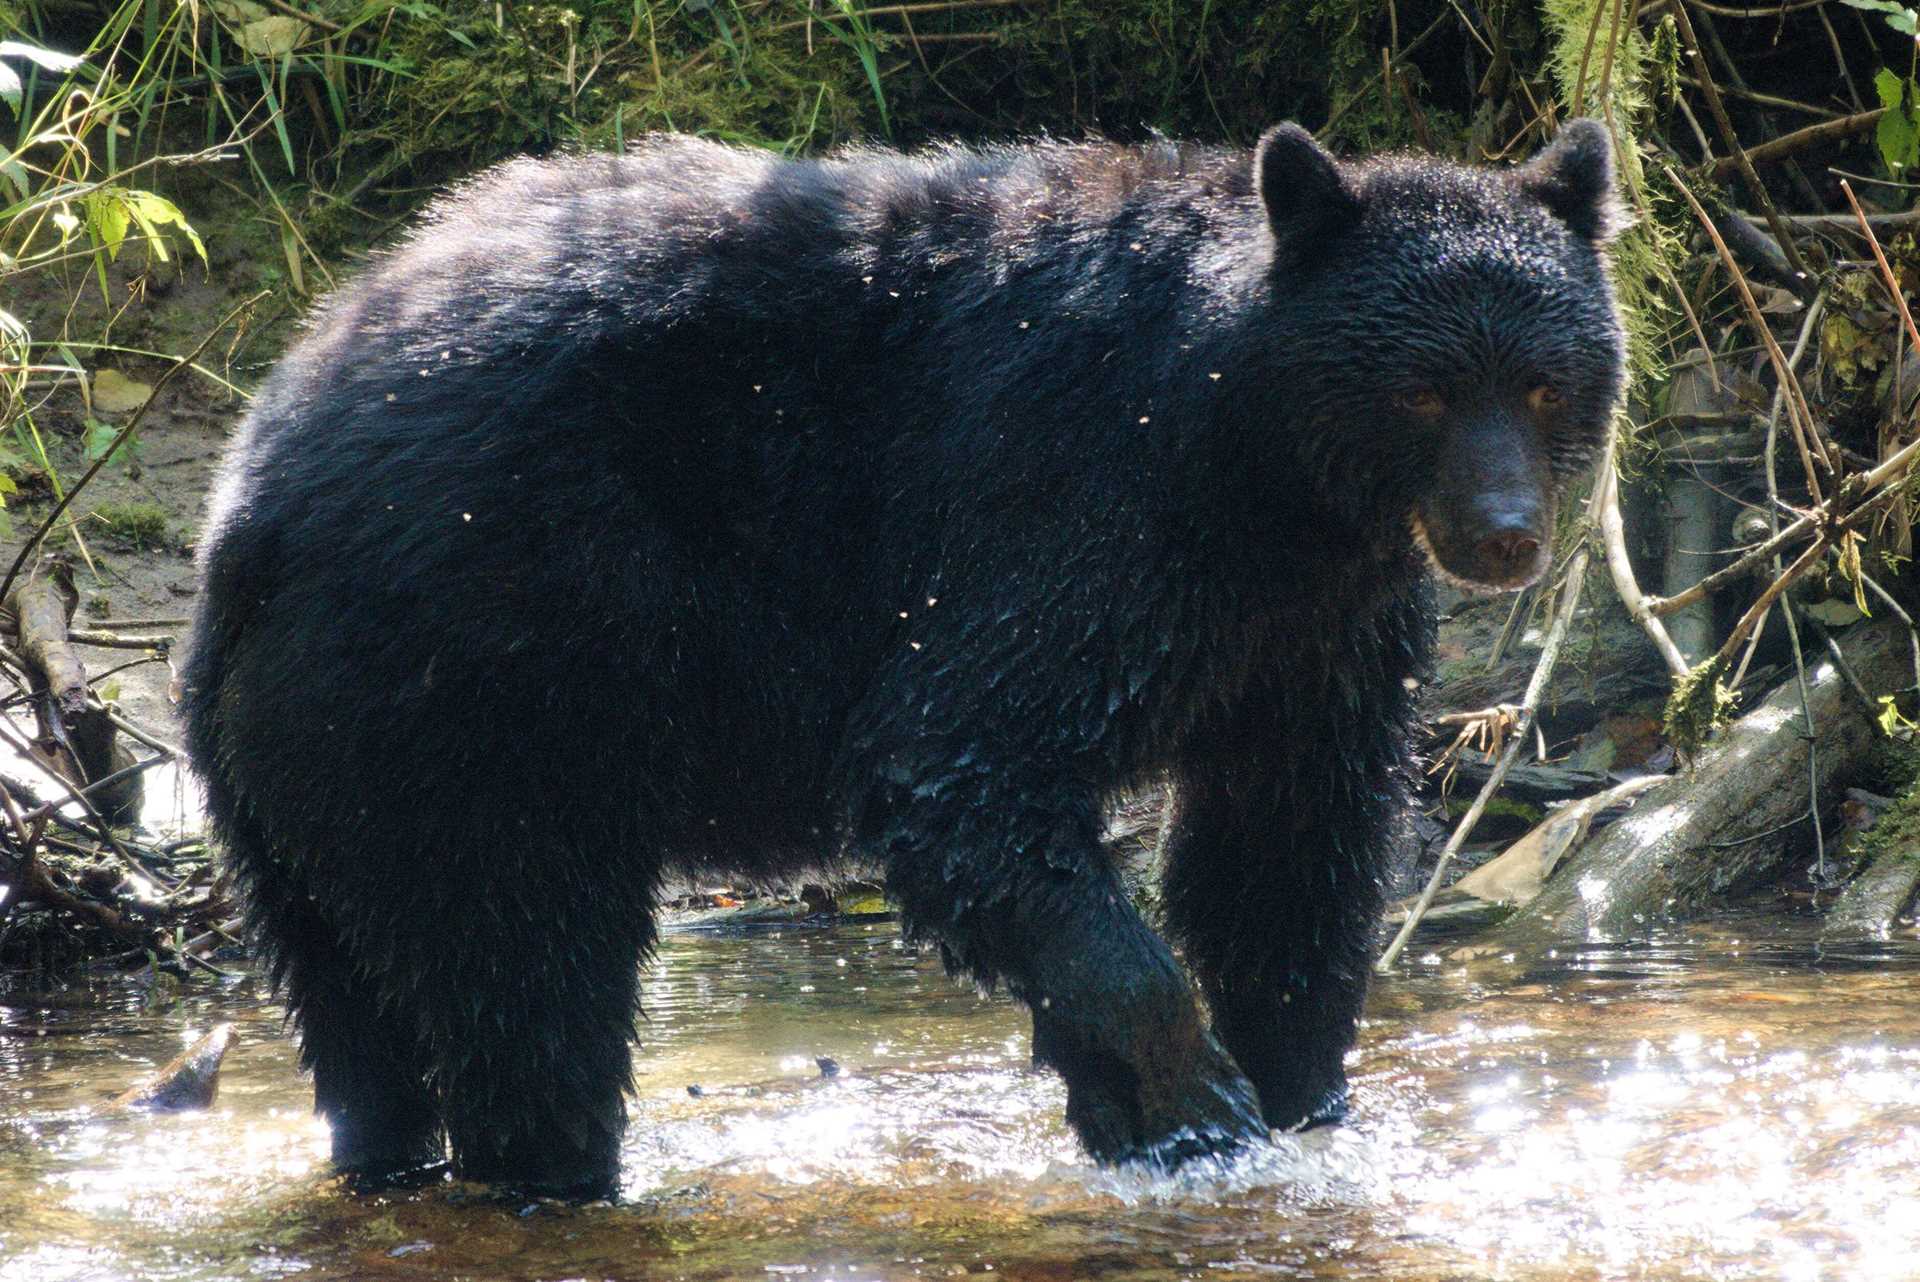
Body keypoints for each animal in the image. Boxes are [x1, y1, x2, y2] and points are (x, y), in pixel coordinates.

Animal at [183, 117, 1620, 1189]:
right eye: (1424, 388)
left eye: (1545, 380)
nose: (1504, 535)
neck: (1261, 463)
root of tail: (250, 500)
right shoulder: (1083, 496)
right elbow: (965, 763)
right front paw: (1188, 1095)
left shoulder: (1313, 621)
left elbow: (1288, 838)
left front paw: (1300, 1090)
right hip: (479, 675)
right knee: (527, 973)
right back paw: (557, 1166)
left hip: (306, 773)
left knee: (357, 1015)